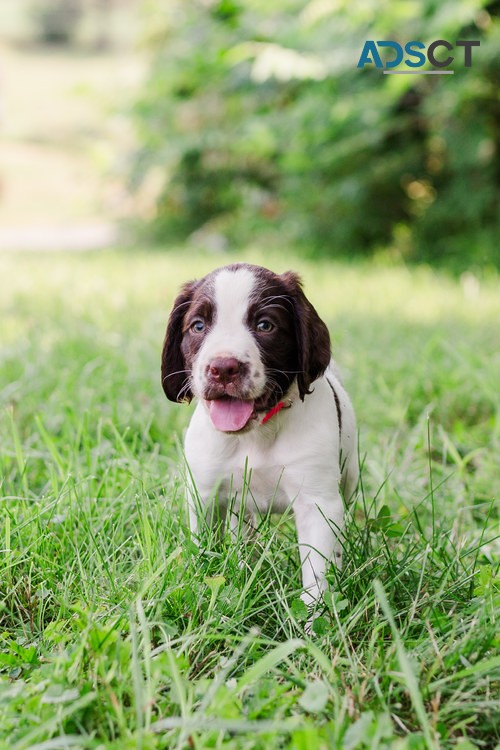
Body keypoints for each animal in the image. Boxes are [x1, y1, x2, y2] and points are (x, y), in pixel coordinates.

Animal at [162, 262, 358, 612]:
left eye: (265, 325)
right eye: (198, 326)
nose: (223, 368)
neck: (256, 434)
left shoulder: (318, 504)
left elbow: (318, 574)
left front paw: (314, 621)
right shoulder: (204, 495)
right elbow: (205, 554)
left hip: (349, 479)